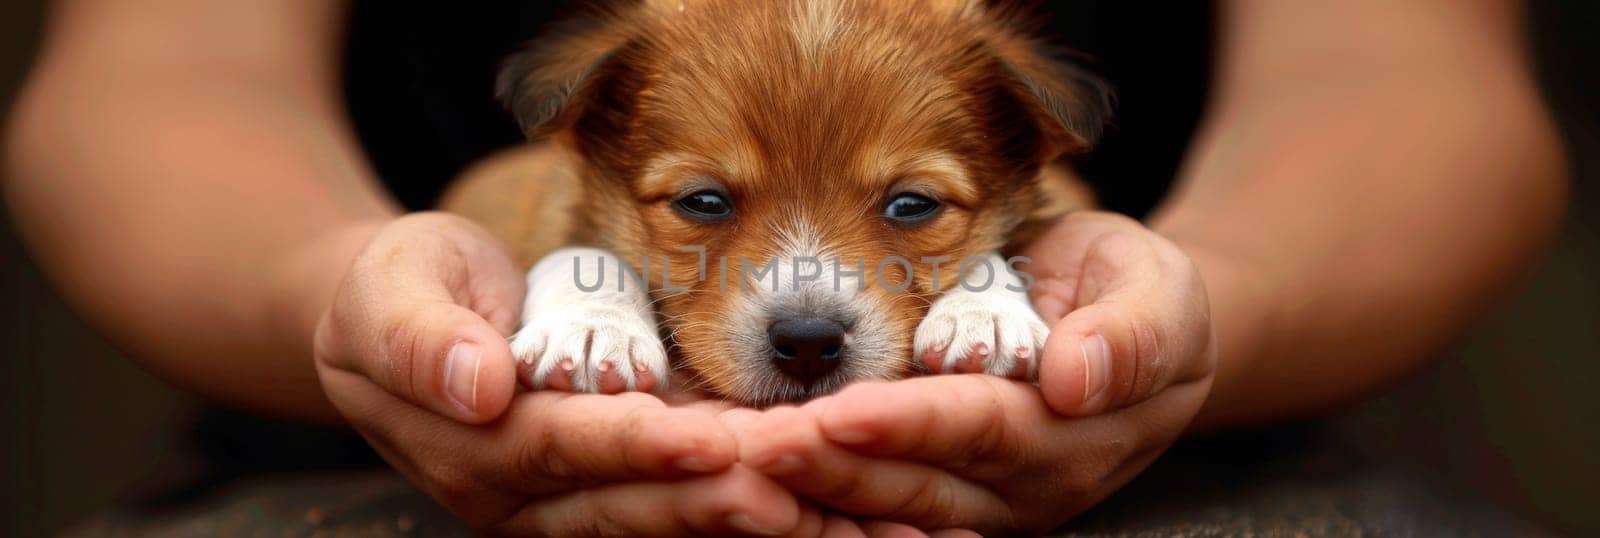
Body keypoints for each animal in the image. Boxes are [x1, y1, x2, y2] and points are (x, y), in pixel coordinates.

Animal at [441, 0, 1113, 403]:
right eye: (704, 200)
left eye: (912, 205)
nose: (809, 342)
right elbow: (578, 255)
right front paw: (590, 328)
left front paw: (988, 315)